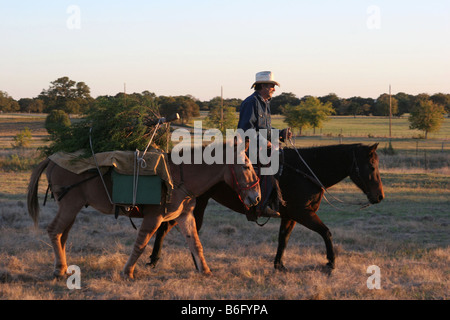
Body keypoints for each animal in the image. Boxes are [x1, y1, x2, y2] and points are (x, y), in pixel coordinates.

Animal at [27, 144, 260, 278]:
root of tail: (52, 160)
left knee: (62, 236)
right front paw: (128, 272)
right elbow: (140, 244)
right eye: (246, 167)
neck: (179, 175)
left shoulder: (185, 217)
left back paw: (63, 266)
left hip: (71, 208)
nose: (256, 197)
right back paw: (59, 269)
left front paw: (205, 270)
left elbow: (196, 244)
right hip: (69, 205)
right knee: (54, 231)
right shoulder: (154, 218)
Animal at [147, 144, 384, 272]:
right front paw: (330, 263)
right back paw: (157, 260)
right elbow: (326, 232)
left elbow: (283, 239)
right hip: (195, 206)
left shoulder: (290, 216)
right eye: (372, 166)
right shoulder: (303, 213)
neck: (305, 171)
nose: (379, 197)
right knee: (171, 228)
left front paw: (279, 265)